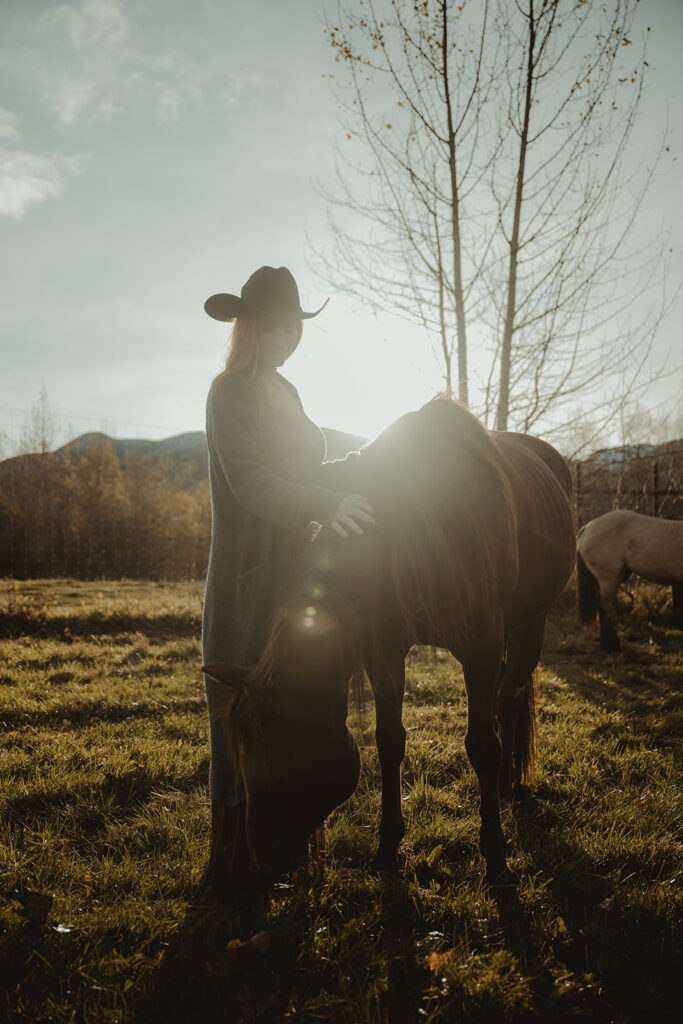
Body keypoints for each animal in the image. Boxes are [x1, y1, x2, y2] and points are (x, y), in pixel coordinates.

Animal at [204, 399, 577, 888]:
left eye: (277, 751)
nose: (264, 863)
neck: (417, 525)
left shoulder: (479, 642)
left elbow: (482, 745)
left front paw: (496, 859)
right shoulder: (384, 644)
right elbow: (388, 741)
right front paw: (386, 849)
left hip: (529, 623)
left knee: (510, 697)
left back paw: (509, 786)